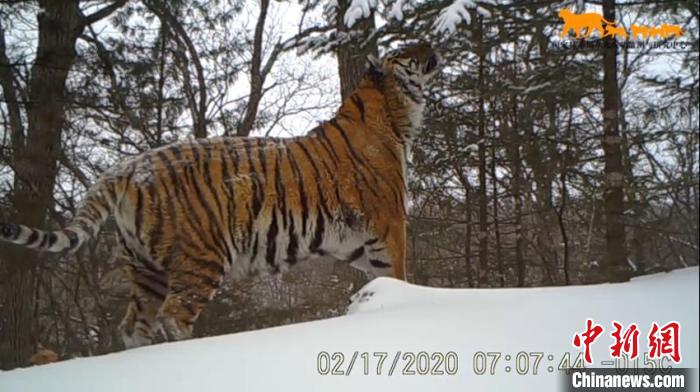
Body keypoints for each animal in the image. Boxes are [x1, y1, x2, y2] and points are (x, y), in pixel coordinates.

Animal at [0, 43, 440, 350]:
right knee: (174, 316)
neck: (393, 115)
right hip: (200, 258)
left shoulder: (355, 244)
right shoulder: (389, 227)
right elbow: (400, 275)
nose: (429, 45)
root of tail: (125, 168)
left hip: (145, 268)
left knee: (134, 325)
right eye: (406, 53)